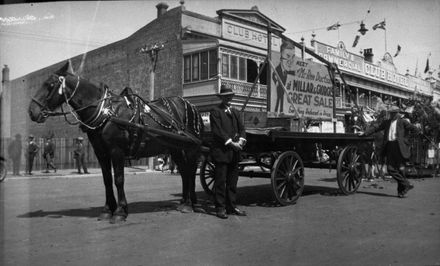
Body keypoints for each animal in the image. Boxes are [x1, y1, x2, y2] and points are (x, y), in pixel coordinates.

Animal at [28, 61, 204, 221]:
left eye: (49, 85)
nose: (31, 111)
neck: (106, 112)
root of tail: (190, 105)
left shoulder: (116, 151)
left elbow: (119, 179)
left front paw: (120, 211)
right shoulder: (101, 152)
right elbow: (107, 180)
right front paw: (107, 210)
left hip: (191, 148)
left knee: (190, 171)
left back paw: (190, 203)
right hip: (175, 148)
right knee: (184, 172)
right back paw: (184, 202)